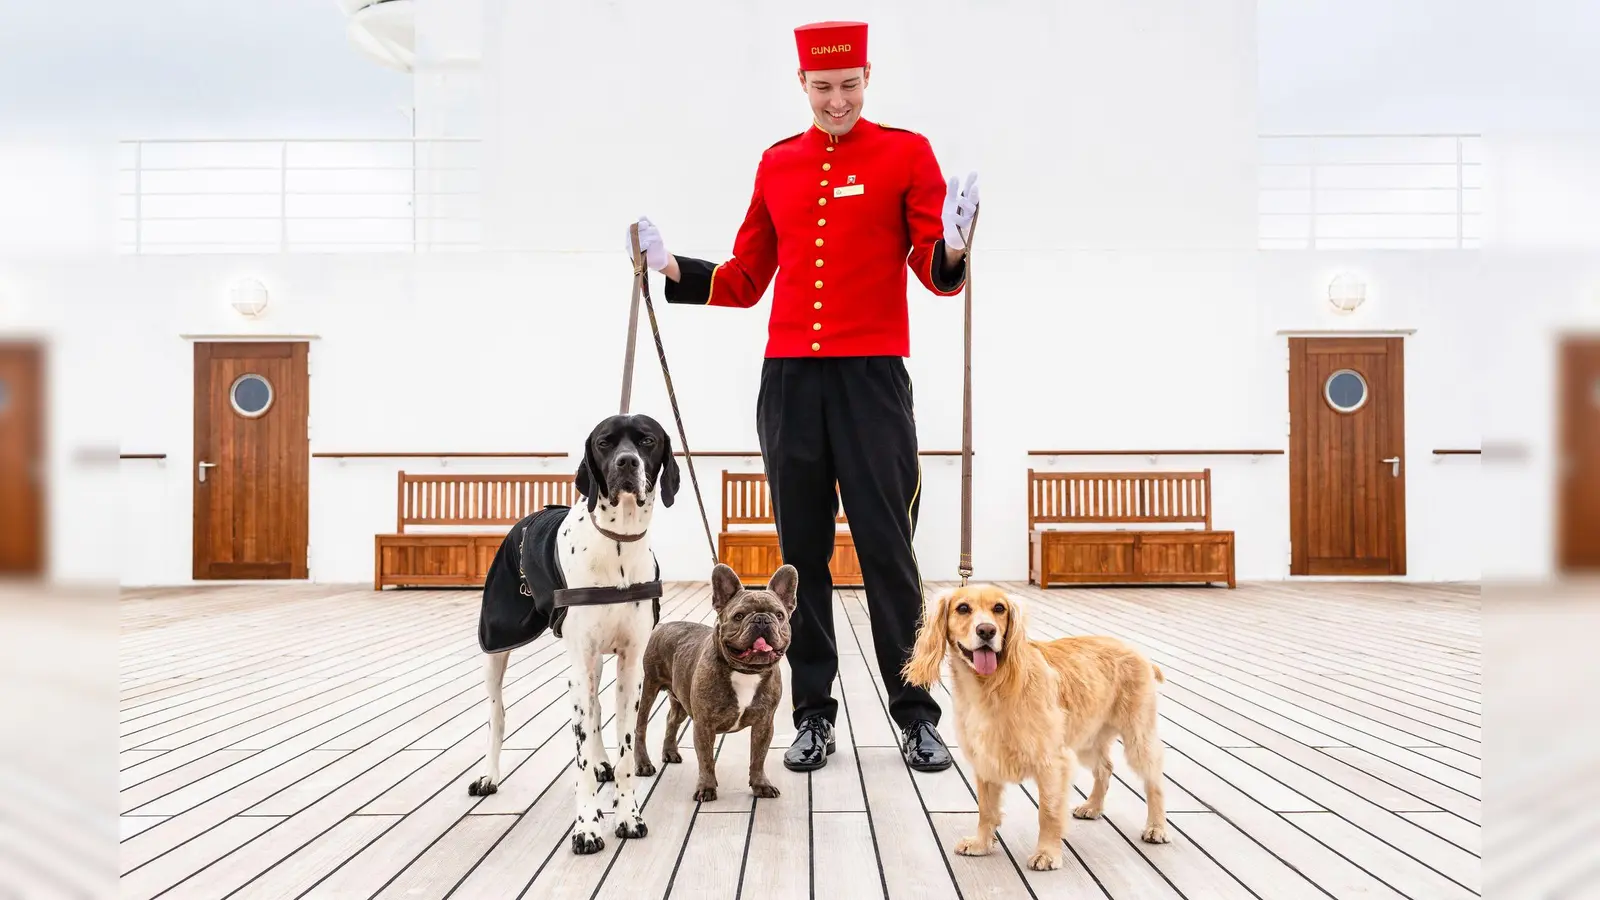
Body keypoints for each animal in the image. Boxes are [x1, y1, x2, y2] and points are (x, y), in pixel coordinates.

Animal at [467, 409, 681, 851]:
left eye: (647, 440)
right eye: (604, 442)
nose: (626, 463)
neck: (618, 544)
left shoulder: (630, 665)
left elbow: (625, 748)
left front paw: (627, 814)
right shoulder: (579, 663)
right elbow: (579, 757)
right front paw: (586, 826)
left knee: (596, 710)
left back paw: (601, 763)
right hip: (498, 641)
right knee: (497, 715)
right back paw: (489, 775)